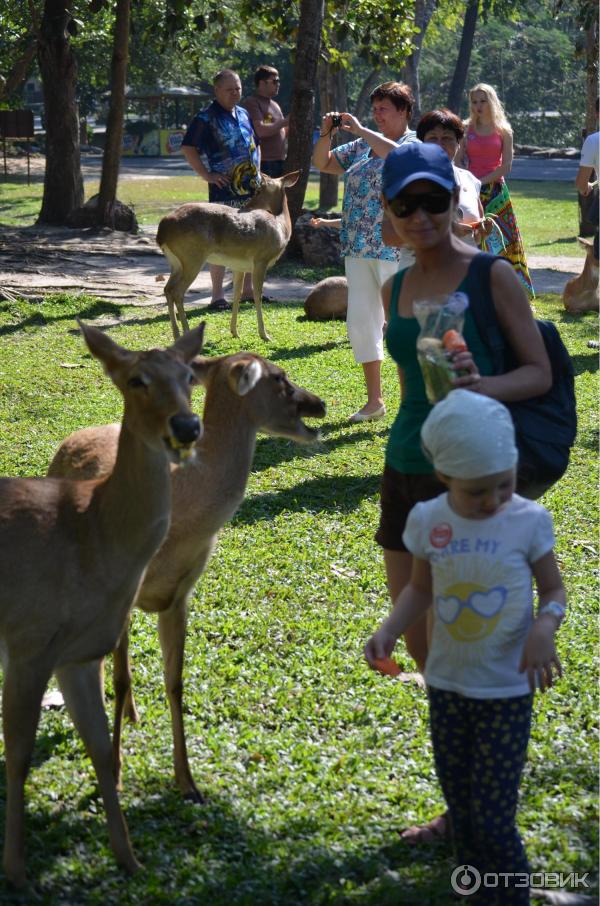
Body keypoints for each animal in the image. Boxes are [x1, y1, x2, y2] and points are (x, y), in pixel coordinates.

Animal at [0, 320, 205, 884]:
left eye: (190, 375)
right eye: (136, 380)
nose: (187, 426)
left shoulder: (77, 655)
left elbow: (97, 749)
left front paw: (130, 859)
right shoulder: (28, 642)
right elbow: (19, 754)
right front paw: (16, 869)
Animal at [48, 350, 326, 800]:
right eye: (280, 378)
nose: (319, 404)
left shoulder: (181, 595)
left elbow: (175, 681)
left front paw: (187, 781)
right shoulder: (123, 590)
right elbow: (122, 677)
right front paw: (117, 773)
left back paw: (130, 715)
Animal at [155, 170, 300, 342]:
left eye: (259, 190)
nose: (247, 207)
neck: (281, 227)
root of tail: (162, 231)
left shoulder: (239, 266)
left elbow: (237, 294)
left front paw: (235, 332)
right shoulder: (261, 260)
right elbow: (257, 294)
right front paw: (264, 335)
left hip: (176, 262)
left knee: (167, 289)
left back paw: (177, 334)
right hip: (192, 257)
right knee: (177, 291)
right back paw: (186, 333)